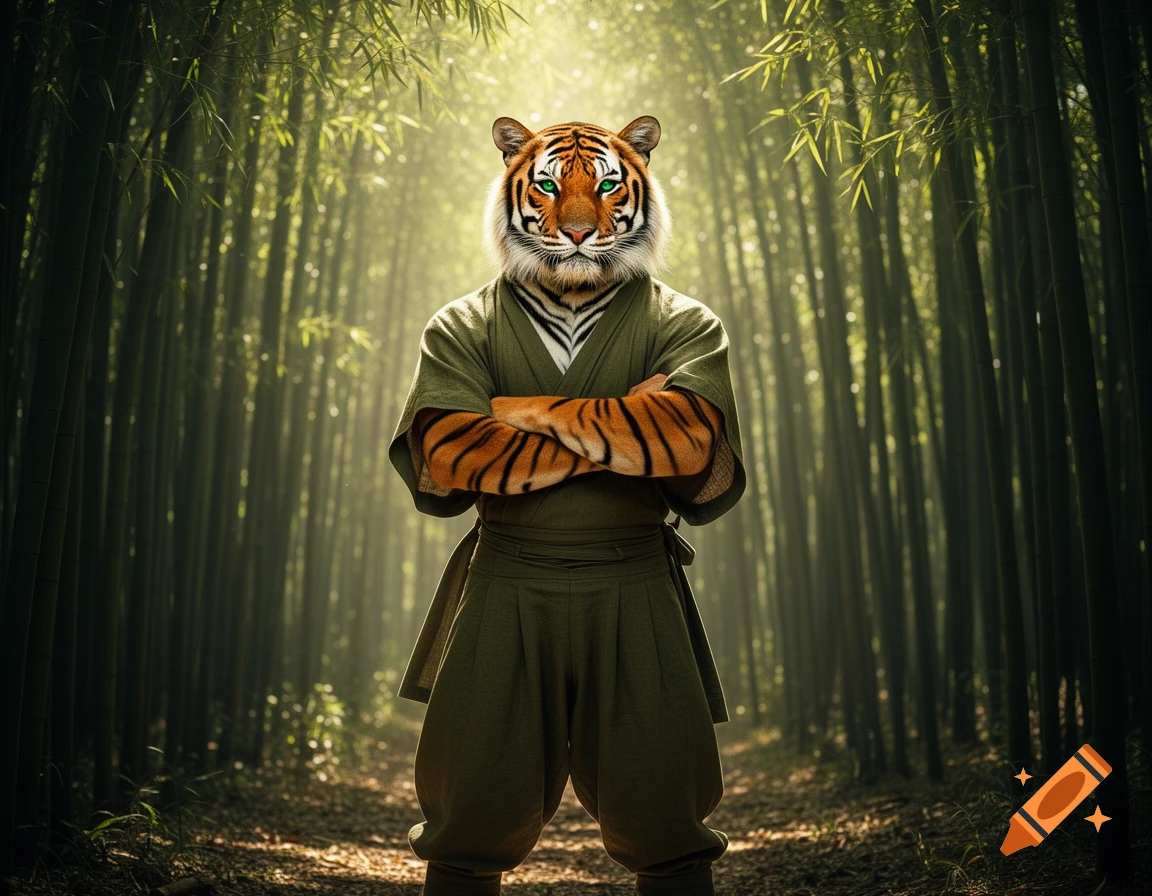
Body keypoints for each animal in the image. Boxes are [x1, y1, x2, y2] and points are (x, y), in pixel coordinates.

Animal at [414, 115, 723, 496]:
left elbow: (582, 407)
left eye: (607, 185)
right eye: (548, 185)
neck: (574, 291)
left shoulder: (684, 393)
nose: (578, 233)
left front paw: (500, 405)